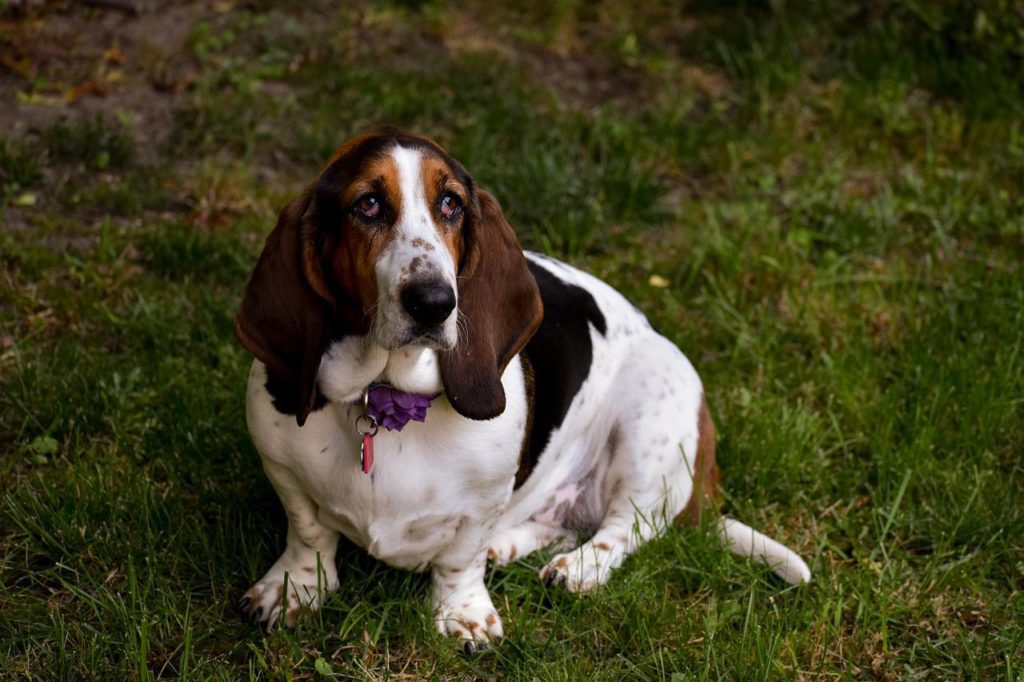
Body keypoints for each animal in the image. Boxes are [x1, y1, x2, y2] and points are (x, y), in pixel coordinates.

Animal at [234, 125, 806, 647]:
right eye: (368, 204)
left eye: (450, 204)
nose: (435, 302)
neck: (387, 397)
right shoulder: (280, 466)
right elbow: (308, 532)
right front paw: (295, 589)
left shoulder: (484, 499)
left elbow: (460, 558)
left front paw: (462, 614)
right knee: (568, 522)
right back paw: (509, 546)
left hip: (650, 430)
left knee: (626, 527)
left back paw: (578, 569)